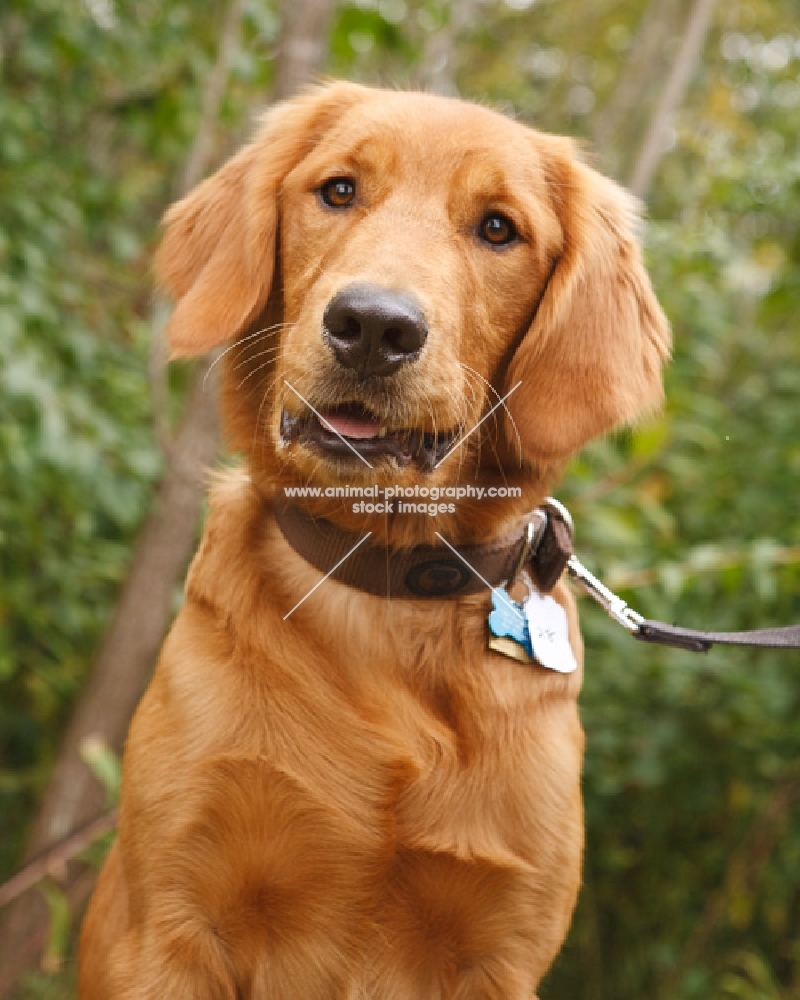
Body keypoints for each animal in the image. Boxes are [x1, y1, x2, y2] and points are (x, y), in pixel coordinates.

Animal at [79, 82, 668, 996]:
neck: (387, 586)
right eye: (339, 190)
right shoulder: (174, 920)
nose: (372, 326)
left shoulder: (501, 952)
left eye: (498, 228)